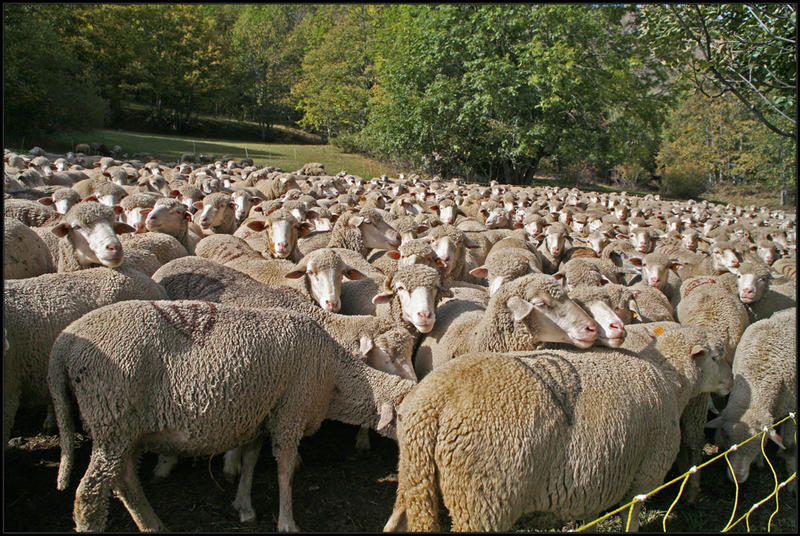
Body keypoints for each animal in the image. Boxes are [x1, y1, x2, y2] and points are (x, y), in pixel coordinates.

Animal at [47, 302, 416, 532]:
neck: (334, 374)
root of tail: (64, 340)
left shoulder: (261, 411)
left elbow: (251, 459)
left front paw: (244, 505)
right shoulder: (290, 411)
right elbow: (284, 469)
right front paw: (287, 522)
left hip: (125, 428)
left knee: (124, 480)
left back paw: (152, 524)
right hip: (112, 418)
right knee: (90, 495)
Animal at [384, 326, 736, 532]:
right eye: (716, 356)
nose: (731, 382)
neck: (669, 380)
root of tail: (437, 401)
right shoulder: (645, 474)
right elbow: (632, 519)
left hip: (414, 478)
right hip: (482, 501)